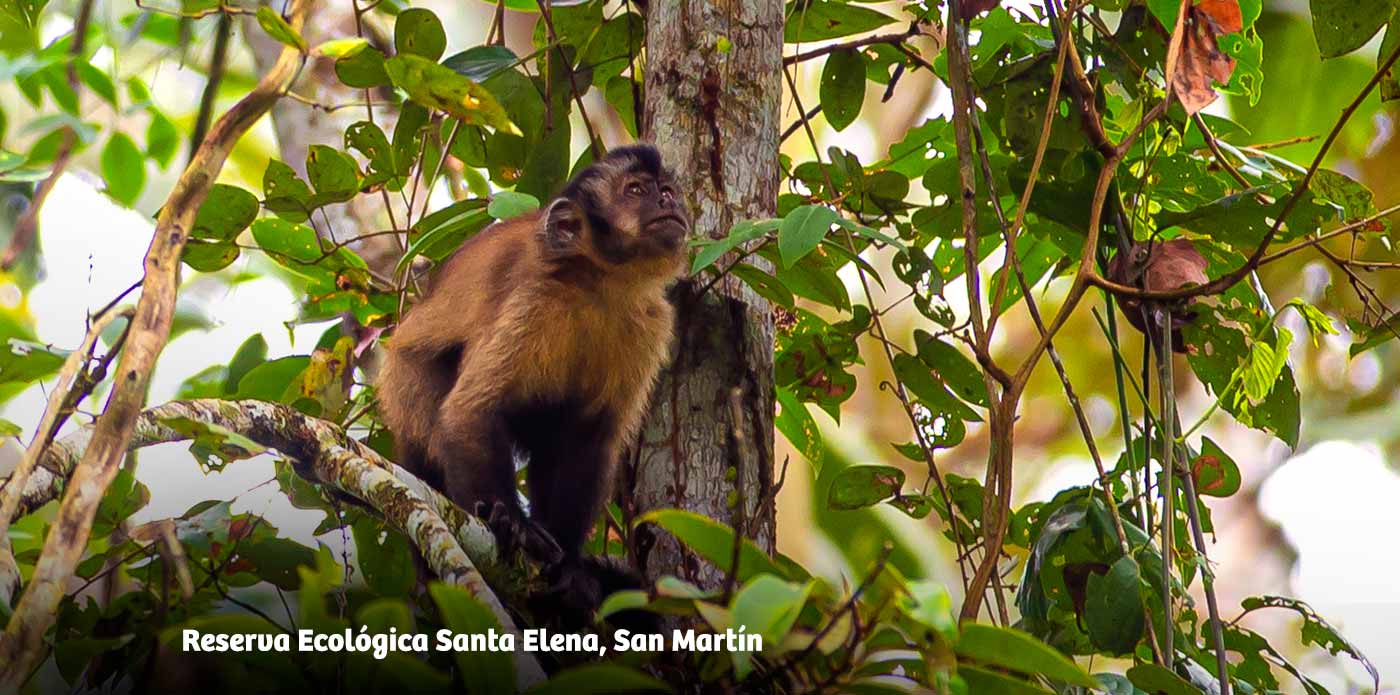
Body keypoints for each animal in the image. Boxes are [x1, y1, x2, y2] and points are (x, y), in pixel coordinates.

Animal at [378, 145, 688, 624]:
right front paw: (512, 524)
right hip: (404, 382)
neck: (601, 283)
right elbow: (471, 408)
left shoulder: (652, 322)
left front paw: (574, 570)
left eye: (668, 189)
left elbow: (591, 439)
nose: (668, 201)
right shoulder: (534, 297)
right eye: (635, 191)